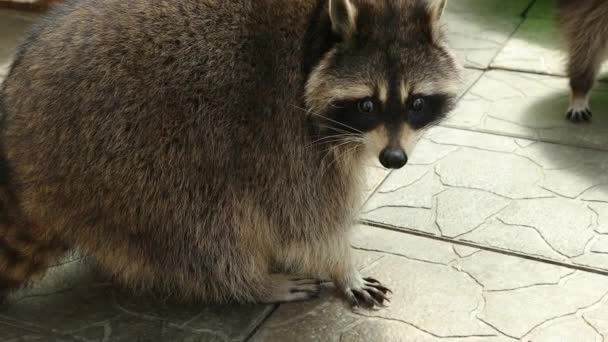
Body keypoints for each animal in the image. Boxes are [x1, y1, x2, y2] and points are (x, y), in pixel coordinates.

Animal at [0, 0, 458, 308]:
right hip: (120, 157)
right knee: (205, 226)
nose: (393, 159)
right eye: (366, 105)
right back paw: (250, 282)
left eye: (417, 103)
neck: (316, 37)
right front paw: (342, 267)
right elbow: (308, 217)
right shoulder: (284, 133)